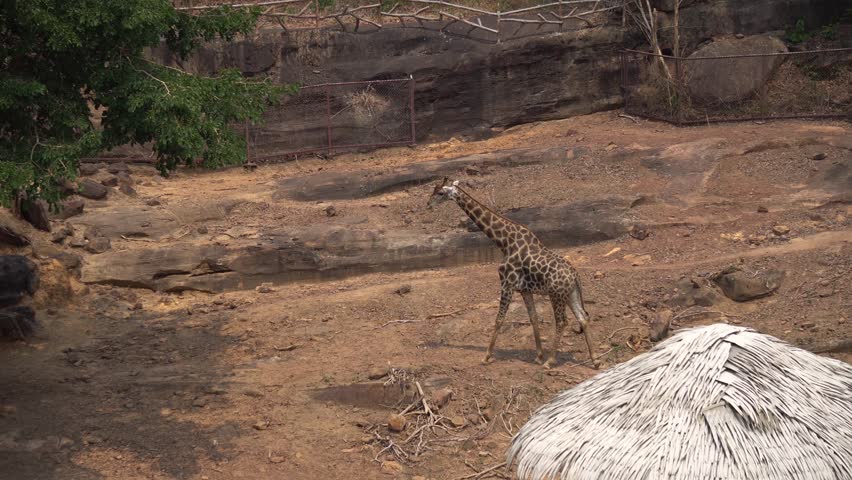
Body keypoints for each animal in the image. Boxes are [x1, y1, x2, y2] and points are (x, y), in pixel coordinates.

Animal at [427, 178, 597, 369]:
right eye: (434, 190)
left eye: (440, 192)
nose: (428, 204)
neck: (505, 242)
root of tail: (575, 275)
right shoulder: (524, 289)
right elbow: (533, 318)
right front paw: (538, 356)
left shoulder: (507, 283)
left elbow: (499, 319)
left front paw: (486, 356)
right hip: (570, 293)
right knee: (582, 317)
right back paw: (595, 360)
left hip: (556, 295)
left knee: (562, 321)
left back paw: (550, 362)